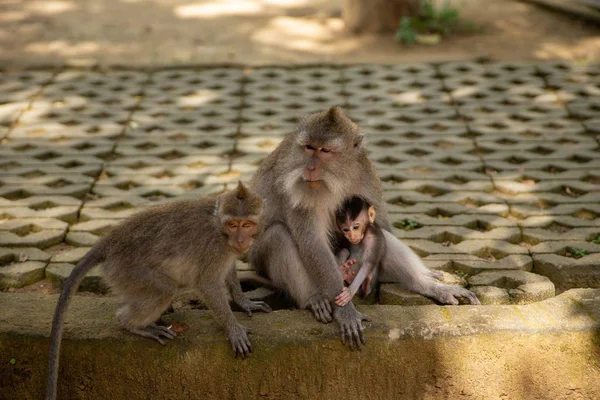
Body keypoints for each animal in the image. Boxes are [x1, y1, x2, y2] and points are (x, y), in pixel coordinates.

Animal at [45, 180, 270, 400]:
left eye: (246, 224)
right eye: (232, 225)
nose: (240, 240)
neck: (218, 228)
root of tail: (109, 242)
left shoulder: (227, 250)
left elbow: (228, 271)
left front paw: (243, 302)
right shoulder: (215, 248)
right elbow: (208, 284)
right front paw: (233, 329)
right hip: (125, 270)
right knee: (164, 291)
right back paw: (134, 324)